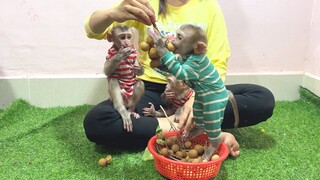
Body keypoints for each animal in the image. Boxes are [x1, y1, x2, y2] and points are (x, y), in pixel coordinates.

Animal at [148, 23, 238, 160]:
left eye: (179, 37)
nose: (172, 40)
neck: (189, 55)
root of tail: (224, 93)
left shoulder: (195, 64)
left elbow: (181, 71)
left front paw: (159, 43)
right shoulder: (181, 57)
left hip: (215, 104)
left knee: (210, 120)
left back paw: (213, 145)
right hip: (201, 102)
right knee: (196, 113)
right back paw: (195, 131)